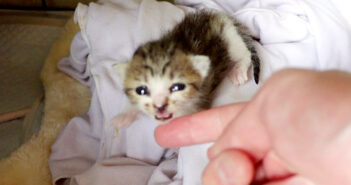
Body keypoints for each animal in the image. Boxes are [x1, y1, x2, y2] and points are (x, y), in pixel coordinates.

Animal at [113, 10, 262, 127]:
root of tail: (221, 16)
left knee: (244, 53)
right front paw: (125, 115)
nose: (160, 107)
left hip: (229, 36)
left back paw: (238, 70)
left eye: (177, 87)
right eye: (141, 90)